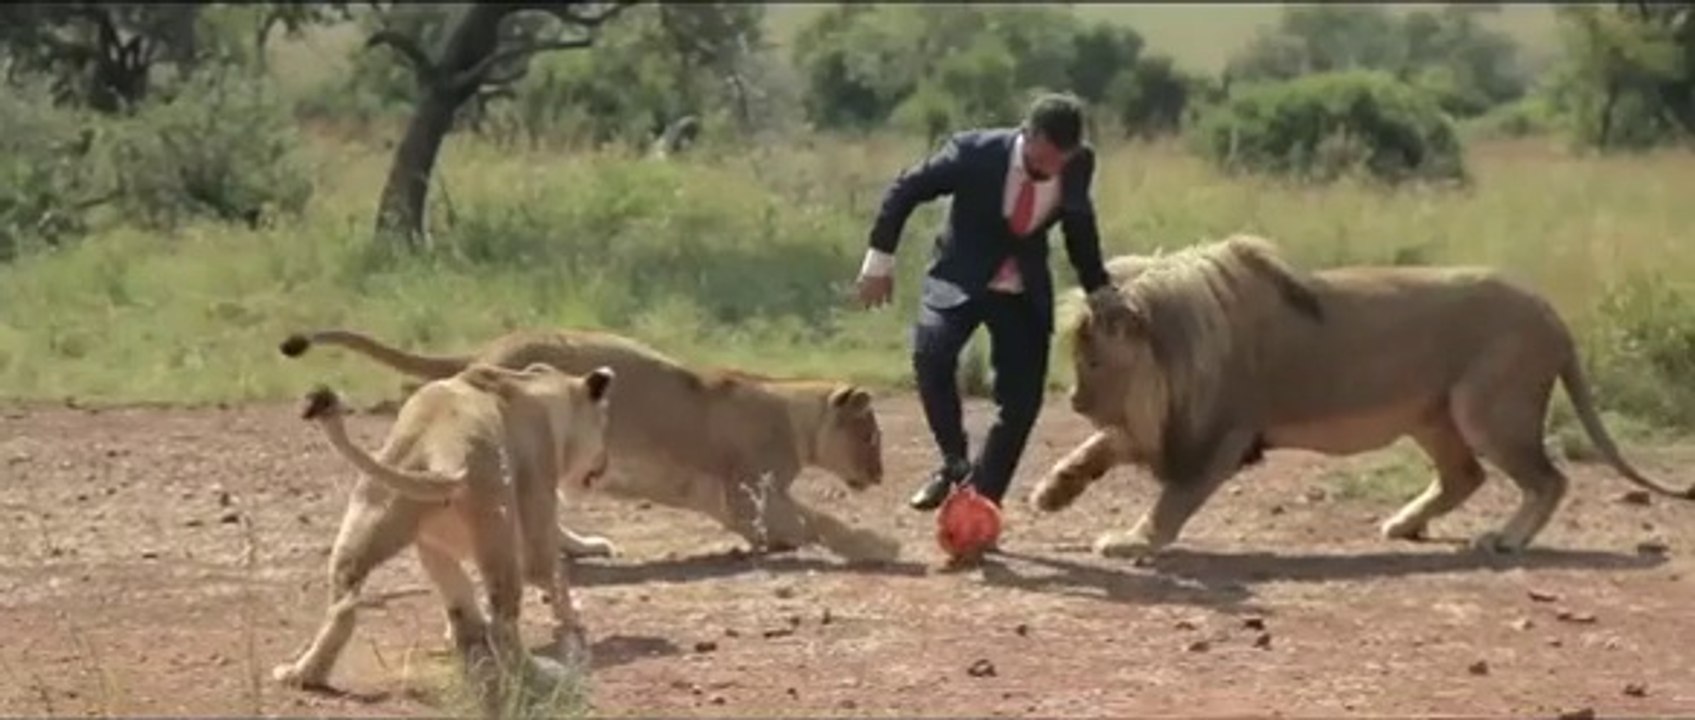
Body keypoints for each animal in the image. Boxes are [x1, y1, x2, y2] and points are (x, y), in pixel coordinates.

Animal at [272, 361, 616, 694]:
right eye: (602, 424)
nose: (604, 464)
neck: (537, 384)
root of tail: (443, 449)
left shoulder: (434, 542)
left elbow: (459, 592)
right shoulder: (537, 496)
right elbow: (553, 570)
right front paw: (573, 616)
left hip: (369, 520)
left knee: (343, 607)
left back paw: (302, 674)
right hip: (498, 531)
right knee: (504, 624)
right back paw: (544, 675)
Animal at [277, 326, 900, 564]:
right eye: (871, 434)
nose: (879, 473)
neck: (794, 413)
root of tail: (486, 351)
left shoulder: (732, 501)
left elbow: (792, 524)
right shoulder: (751, 488)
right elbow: (816, 520)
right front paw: (877, 545)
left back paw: (585, 548)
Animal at [1031, 233, 1695, 560]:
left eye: (1092, 360)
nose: (1075, 403)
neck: (1171, 354)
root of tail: (1555, 316)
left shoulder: (1222, 435)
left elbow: (1173, 499)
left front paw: (1132, 540)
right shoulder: (1167, 424)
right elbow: (1099, 448)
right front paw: (1052, 491)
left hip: (1486, 407)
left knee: (1549, 478)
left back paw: (1504, 539)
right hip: (1433, 416)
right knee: (1466, 476)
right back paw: (1404, 523)